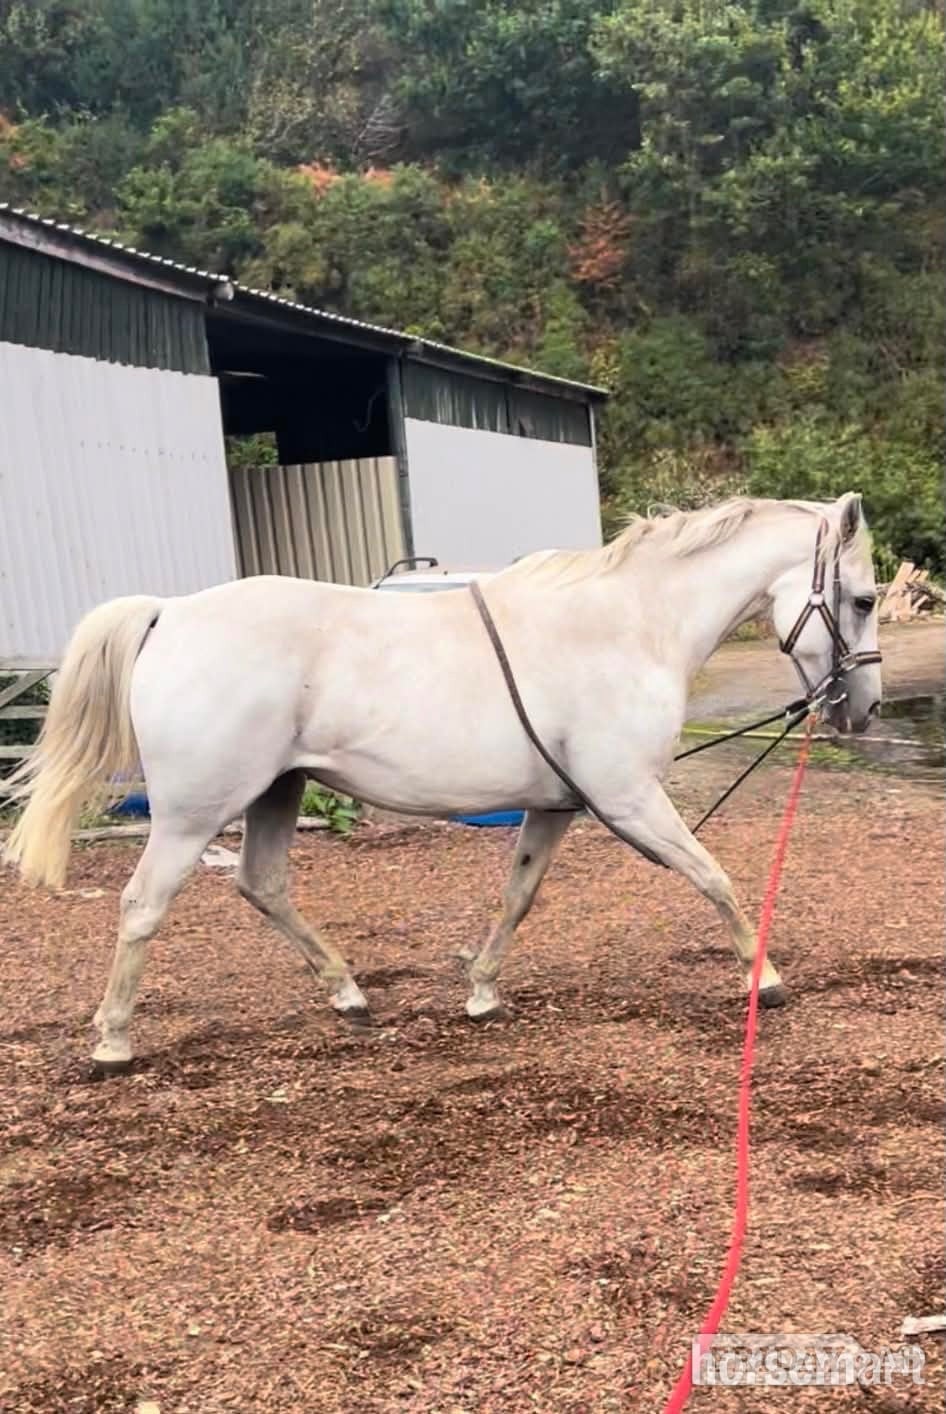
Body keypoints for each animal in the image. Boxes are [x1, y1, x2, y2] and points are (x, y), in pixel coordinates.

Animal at [3, 493, 882, 1072]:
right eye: (866, 598)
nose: (864, 709)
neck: (627, 625)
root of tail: (171, 613)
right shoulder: (629, 799)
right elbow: (714, 877)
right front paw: (765, 979)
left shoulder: (557, 805)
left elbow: (518, 895)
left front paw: (482, 991)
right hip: (193, 815)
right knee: (142, 905)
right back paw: (114, 1040)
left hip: (275, 792)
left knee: (263, 885)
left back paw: (349, 995)